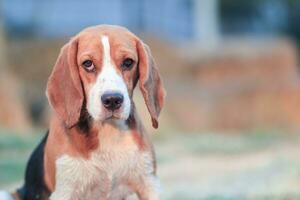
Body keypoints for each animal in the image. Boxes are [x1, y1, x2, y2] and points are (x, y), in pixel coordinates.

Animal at [8, 25, 166, 200]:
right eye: (88, 64)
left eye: (128, 62)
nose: (112, 100)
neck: (108, 131)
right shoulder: (64, 191)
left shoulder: (149, 183)